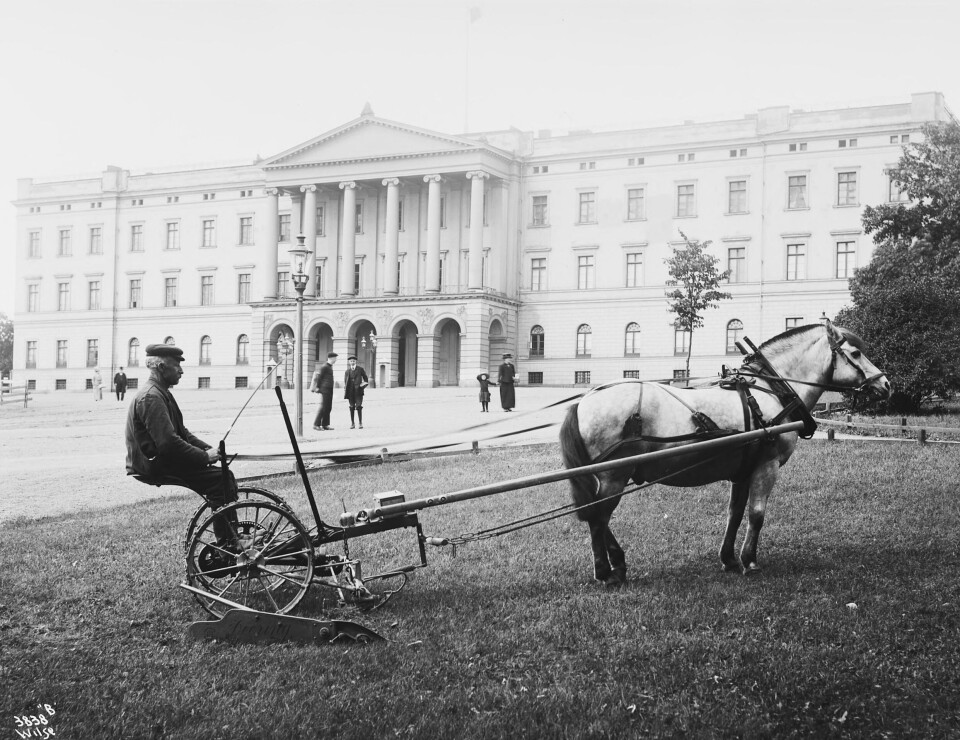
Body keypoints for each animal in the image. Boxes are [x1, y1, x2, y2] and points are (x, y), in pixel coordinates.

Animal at [560, 320, 888, 588]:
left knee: (596, 516)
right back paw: (605, 571)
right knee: (598, 518)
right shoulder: (767, 466)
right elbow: (756, 514)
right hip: (614, 476)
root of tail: (584, 400)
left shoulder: (743, 470)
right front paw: (750, 560)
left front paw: (729, 558)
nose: (885, 383)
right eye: (855, 354)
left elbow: (735, 513)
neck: (770, 389)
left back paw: (617, 562)